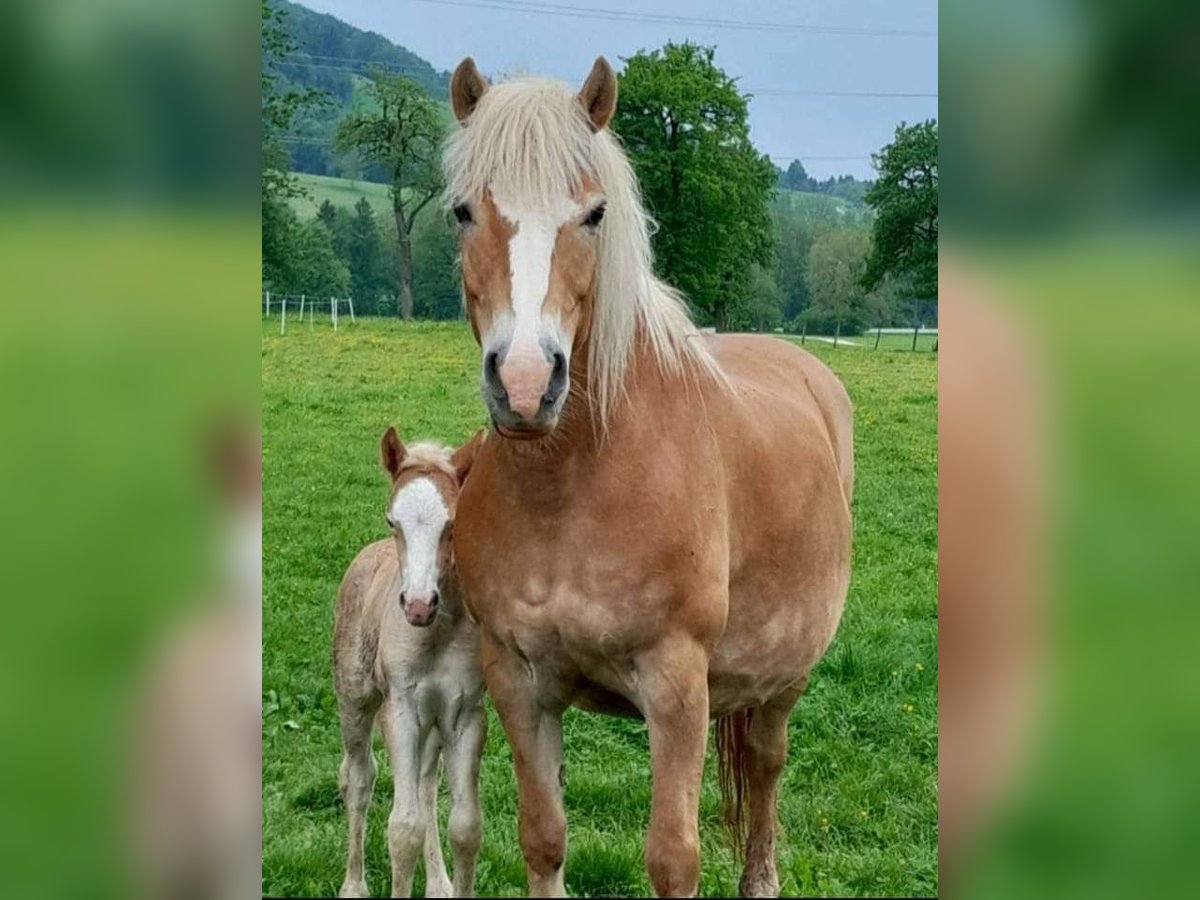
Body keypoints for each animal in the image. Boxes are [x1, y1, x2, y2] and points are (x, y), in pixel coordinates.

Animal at [331, 429, 484, 900]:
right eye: (392, 521)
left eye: (452, 524)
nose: (418, 605)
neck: (435, 635)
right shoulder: (399, 710)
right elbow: (403, 829)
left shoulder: (466, 715)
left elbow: (465, 828)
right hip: (356, 700)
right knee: (359, 777)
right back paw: (354, 885)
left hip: (432, 724)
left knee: (426, 787)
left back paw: (438, 883)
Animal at [444, 58, 854, 900]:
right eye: (465, 211)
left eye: (595, 214)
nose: (526, 384)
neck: (574, 485)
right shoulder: (518, 680)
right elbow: (543, 838)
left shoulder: (675, 685)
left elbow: (673, 857)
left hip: (785, 679)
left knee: (765, 769)